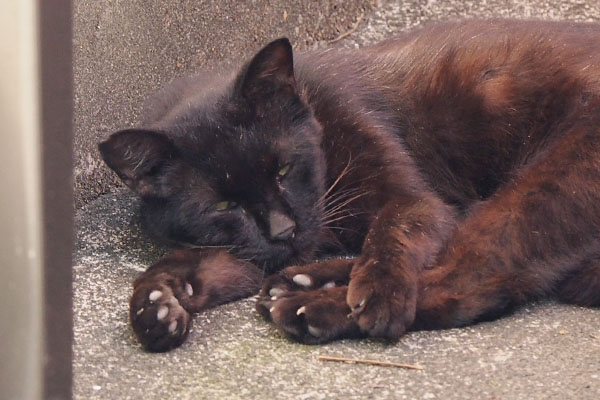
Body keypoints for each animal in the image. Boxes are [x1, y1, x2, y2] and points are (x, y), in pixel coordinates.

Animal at [99, 19, 600, 350]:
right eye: (223, 207)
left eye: (283, 170)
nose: (283, 230)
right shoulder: (252, 248)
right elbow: (195, 261)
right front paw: (156, 304)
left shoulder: (413, 201)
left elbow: (391, 235)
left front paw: (377, 294)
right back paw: (301, 283)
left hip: (543, 190)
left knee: (468, 282)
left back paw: (314, 307)